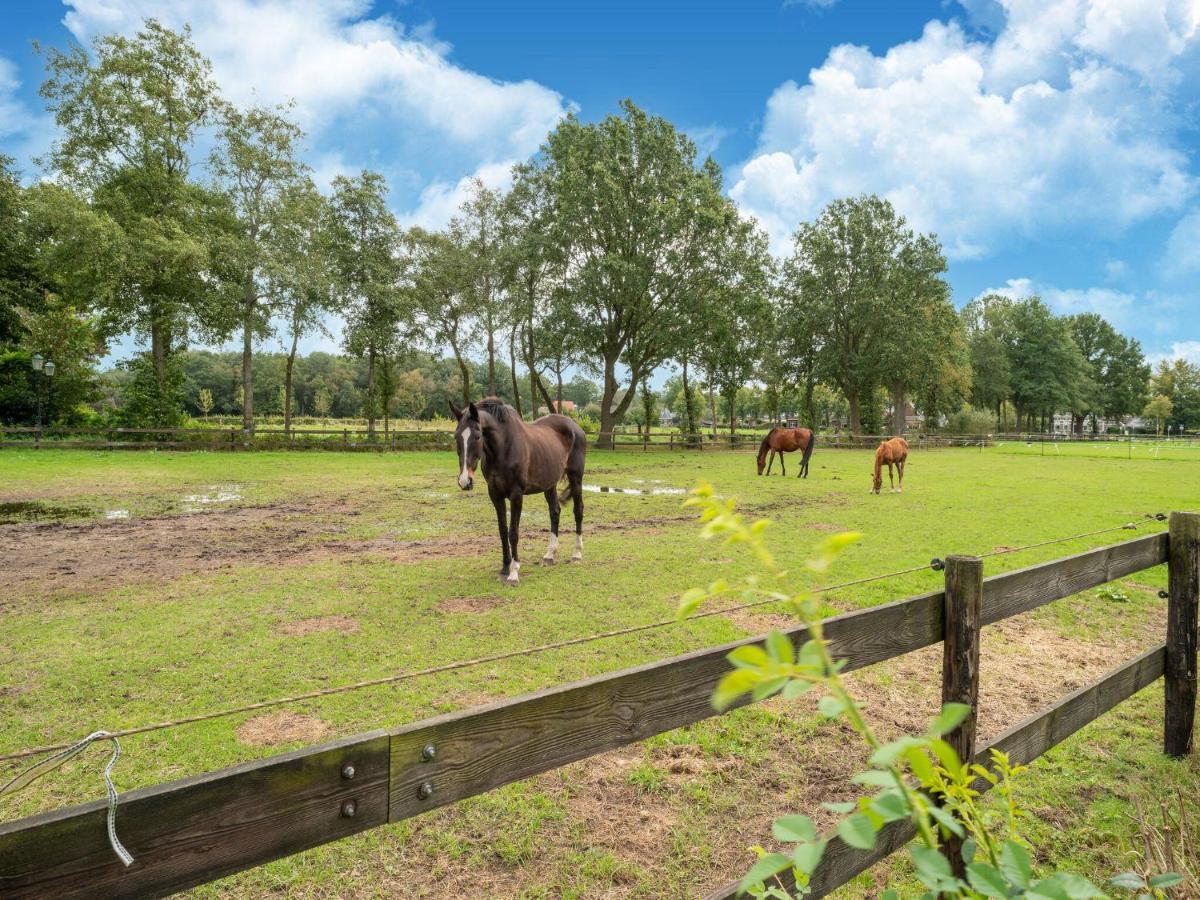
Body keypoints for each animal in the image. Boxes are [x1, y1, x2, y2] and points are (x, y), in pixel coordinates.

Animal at [451, 400, 585, 585]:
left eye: (477, 436)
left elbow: (513, 533)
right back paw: (549, 555)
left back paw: (577, 554)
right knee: (555, 513)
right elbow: (502, 531)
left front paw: (514, 573)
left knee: (578, 511)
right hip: (549, 484)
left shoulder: (516, 495)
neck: (503, 448)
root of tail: (575, 427)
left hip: (576, 478)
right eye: (456, 436)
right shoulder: (495, 494)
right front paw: (504, 568)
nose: (465, 481)